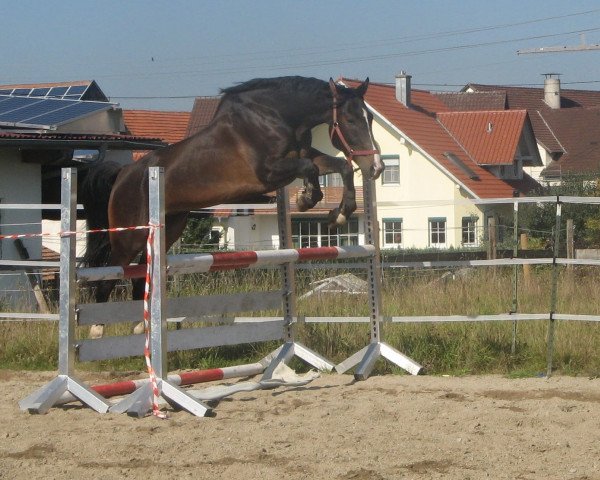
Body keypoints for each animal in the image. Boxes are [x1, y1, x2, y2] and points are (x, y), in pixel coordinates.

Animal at [79, 76, 382, 338]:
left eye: (370, 118)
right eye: (350, 119)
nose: (376, 167)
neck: (276, 117)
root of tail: (123, 173)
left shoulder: (303, 156)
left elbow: (339, 165)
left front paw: (339, 213)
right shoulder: (268, 172)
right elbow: (311, 169)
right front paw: (308, 198)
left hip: (169, 228)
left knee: (141, 273)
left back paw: (142, 327)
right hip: (129, 235)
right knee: (111, 273)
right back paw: (97, 329)